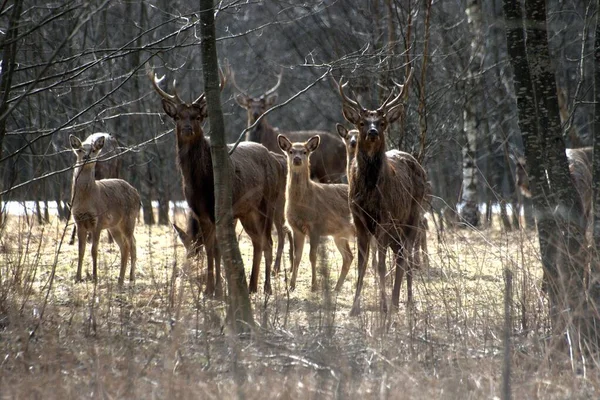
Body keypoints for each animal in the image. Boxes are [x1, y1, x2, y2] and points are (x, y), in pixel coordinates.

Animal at [70, 134, 141, 284]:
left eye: (93, 150)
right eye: (79, 149)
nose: (86, 157)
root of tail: (137, 194)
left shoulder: (98, 220)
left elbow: (94, 250)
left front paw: (95, 277)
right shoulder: (79, 222)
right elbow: (81, 250)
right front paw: (77, 278)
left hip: (129, 219)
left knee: (131, 244)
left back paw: (130, 277)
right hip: (114, 226)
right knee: (125, 246)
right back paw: (121, 278)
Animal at [149, 65, 282, 296]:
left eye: (197, 116)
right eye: (178, 117)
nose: (187, 128)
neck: (200, 182)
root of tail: (272, 158)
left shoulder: (221, 209)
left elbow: (219, 249)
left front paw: (220, 290)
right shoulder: (199, 211)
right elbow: (211, 249)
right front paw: (210, 289)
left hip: (268, 203)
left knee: (268, 242)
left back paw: (266, 288)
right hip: (247, 212)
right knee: (257, 241)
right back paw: (251, 287)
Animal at [278, 134, 354, 290]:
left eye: (305, 151)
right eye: (290, 151)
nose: (297, 159)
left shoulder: (316, 226)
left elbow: (312, 256)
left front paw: (314, 285)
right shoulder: (296, 229)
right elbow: (297, 257)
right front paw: (291, 286)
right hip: (339, 234)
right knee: (349, 257)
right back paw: (337, 288)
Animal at [336, 71, 428, 316]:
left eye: (383, 122)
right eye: (361, 122)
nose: (372, 132)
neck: (368, 192)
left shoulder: (384, 217)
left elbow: (379, 264)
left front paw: (383, 306)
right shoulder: (358, 219)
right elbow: (362, 263)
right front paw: (354, 308)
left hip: (412, 215)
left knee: (406, 256)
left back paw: (404, 303)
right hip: (397, 227)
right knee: (399, 255)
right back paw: (397, 301)